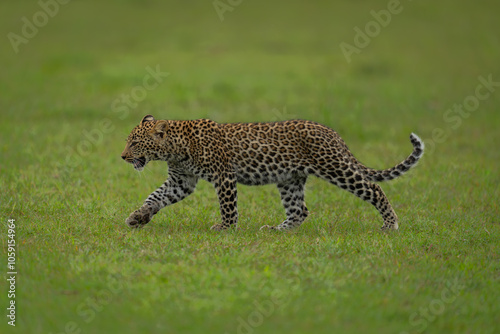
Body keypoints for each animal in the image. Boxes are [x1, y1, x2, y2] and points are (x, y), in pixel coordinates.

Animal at [121, 115, 422, 232]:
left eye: (134, 143)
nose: (122, 157)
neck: (174, 148)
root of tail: (333, 133)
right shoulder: (181, 181)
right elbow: (155, 196)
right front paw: (139, 216)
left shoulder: (224, 175)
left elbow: (227, 205)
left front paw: (226, 228)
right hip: (290, 179)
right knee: (299, 210)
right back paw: (278, 231)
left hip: (335, 167)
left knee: (374, 188)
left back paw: (390, 224)